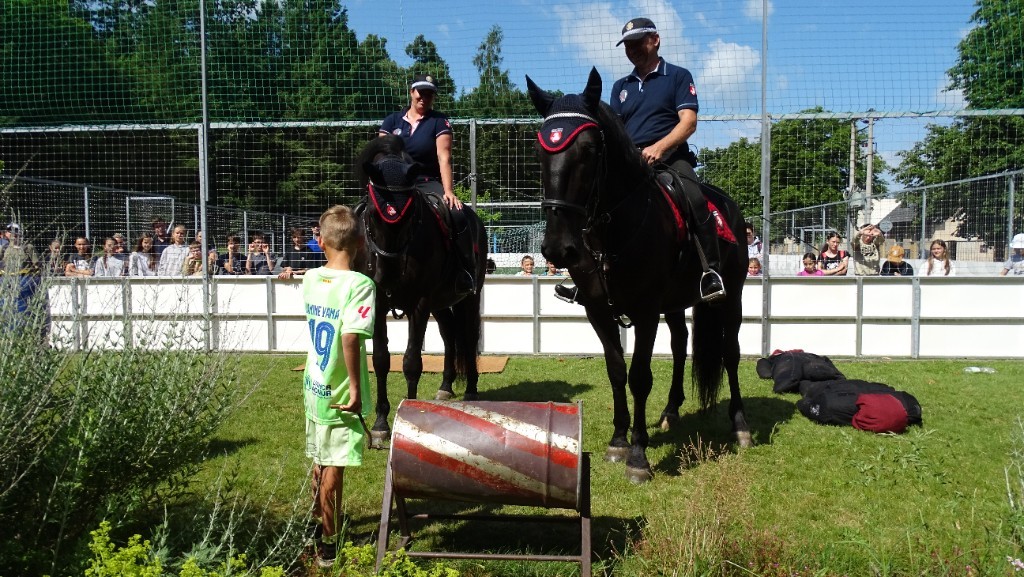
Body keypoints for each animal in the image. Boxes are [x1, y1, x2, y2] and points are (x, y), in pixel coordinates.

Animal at [354, 135, 487, 447]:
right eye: (373, 214)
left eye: (411, 214)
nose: (388, 275)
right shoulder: (380, 303)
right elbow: (381, 360)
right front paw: (380, 425)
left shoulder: (419, 303)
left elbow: (412, 361)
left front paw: (410, 414)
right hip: (441, 303)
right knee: (450, 335)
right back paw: (446, 386)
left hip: (468, 297)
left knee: (468, 336)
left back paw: (471, 389)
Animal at [526, 68, 751, 483]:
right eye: (539, 151)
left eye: (589, 150)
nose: (559, 248)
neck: (612, 231)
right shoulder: (597, 310)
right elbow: (616, 371)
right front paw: (618, 440)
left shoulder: (646, 312)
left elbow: (639, 376)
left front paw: (638, 456)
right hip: (676, 303)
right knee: (680, 345)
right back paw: (671, 411)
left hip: (733, 296)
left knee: (730, 352)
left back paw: (740, 425)